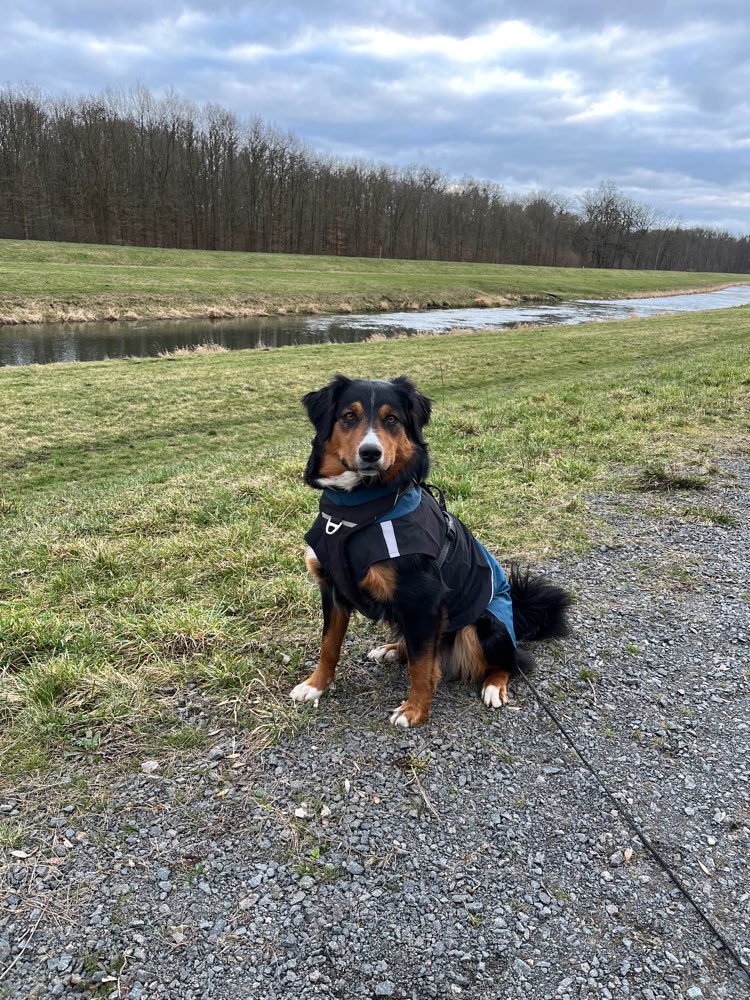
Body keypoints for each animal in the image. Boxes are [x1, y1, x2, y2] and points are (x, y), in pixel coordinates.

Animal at [290, 376, 572, 728]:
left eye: (391, 419)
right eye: (348, 416)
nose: (371, 453)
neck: (356, 509)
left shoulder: (424, 598)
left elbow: (422, 666)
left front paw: (415, 710)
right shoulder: (333, 587)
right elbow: (329, 644)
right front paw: (315, 686)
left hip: (484, 625)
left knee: (512, 660)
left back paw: (494, 685)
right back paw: (392, 649)